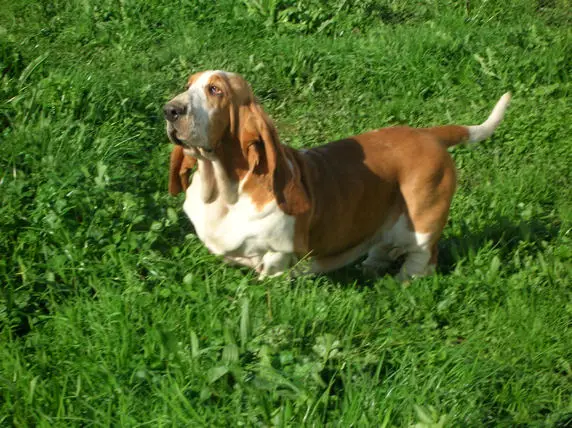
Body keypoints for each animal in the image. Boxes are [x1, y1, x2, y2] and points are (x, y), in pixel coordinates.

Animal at [164, 70, 510, 280]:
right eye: (188, 85)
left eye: (215, 90)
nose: (169, 110)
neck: (226, 189)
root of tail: (430, 135)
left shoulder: (278, 253)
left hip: (422, 223)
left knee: (423, 256)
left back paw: (402, 282)